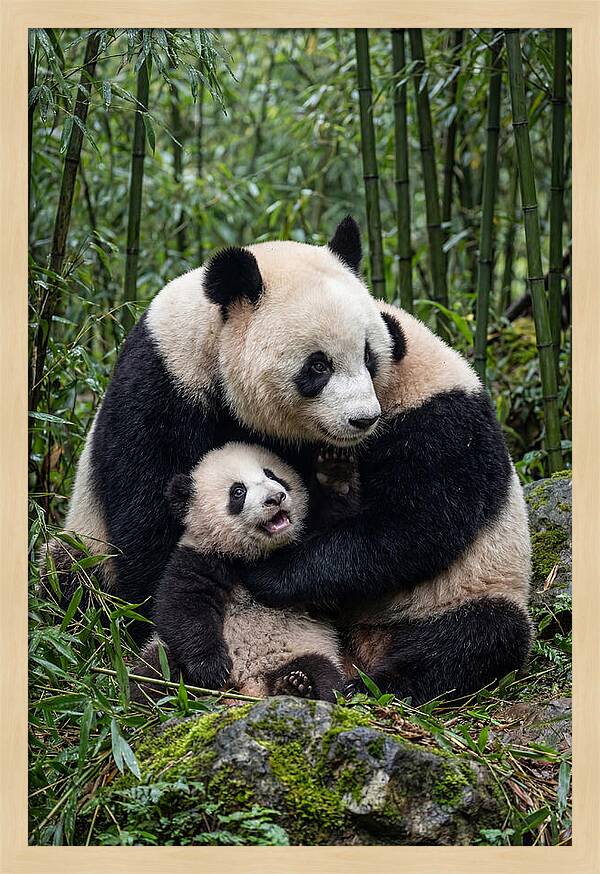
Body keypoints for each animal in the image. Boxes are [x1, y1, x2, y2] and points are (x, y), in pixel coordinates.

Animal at [132, 442, 345, 702]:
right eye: (238, 492)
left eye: (272, 475)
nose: (275, 498)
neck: (250, 554)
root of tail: (248, 684)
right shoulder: (199, 557)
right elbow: (183, 607)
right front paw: (211, 668)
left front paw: (334, 475)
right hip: (163, 653)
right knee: (153, 672)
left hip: (304, 648)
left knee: (323, 673)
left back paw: (297, 686)